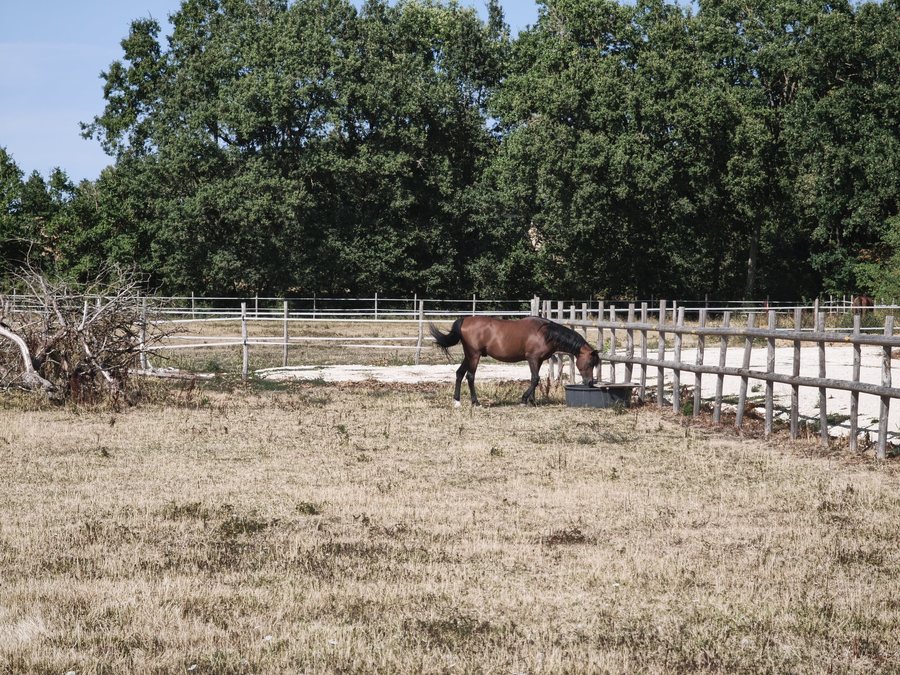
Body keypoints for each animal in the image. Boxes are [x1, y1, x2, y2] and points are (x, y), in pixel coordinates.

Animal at [429, 316, 599, 406]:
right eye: (590, 363)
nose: (590, 382)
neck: (546, 333)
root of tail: (465, 320)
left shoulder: (538, 361)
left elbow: (535, 380)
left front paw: (532, 401)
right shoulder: (532, 358)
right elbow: (535, 379)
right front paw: (524, 400)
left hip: (469, 355)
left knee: (459, 374)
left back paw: (457, 402)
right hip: (474, 355)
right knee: (470, 376)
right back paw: (476, 402)